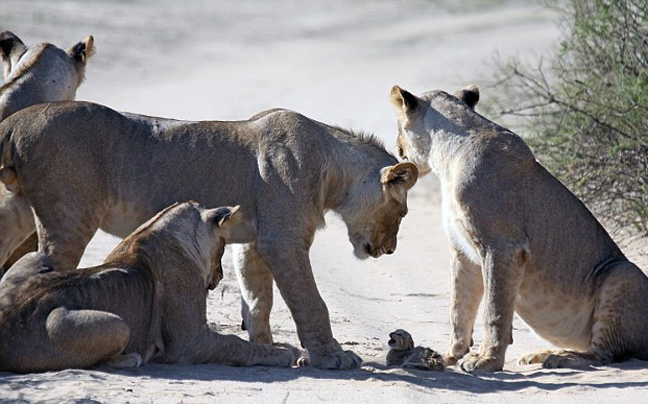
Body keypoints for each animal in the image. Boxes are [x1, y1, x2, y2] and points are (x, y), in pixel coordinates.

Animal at [0, 101, 418, 370]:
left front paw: (268, 348)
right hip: (68, 218)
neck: (330, 168)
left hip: (19, 205)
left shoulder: (253, 242)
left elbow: (258, 300)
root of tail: (17, 120)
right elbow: (310, 302)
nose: (389, 250)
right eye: (402, 212)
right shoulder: (282, 241)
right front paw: (331, 357)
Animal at [390, 83, 648, 370]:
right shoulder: (462, 251)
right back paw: (541, 354)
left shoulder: (502, 246)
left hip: (622, 274)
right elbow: (459, 308)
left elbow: (494, 310)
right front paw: (449, 357)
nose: (396, 147)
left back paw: (559, 358)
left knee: (604, 354)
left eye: (399, 125)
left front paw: (487, 360)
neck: (446, 158)